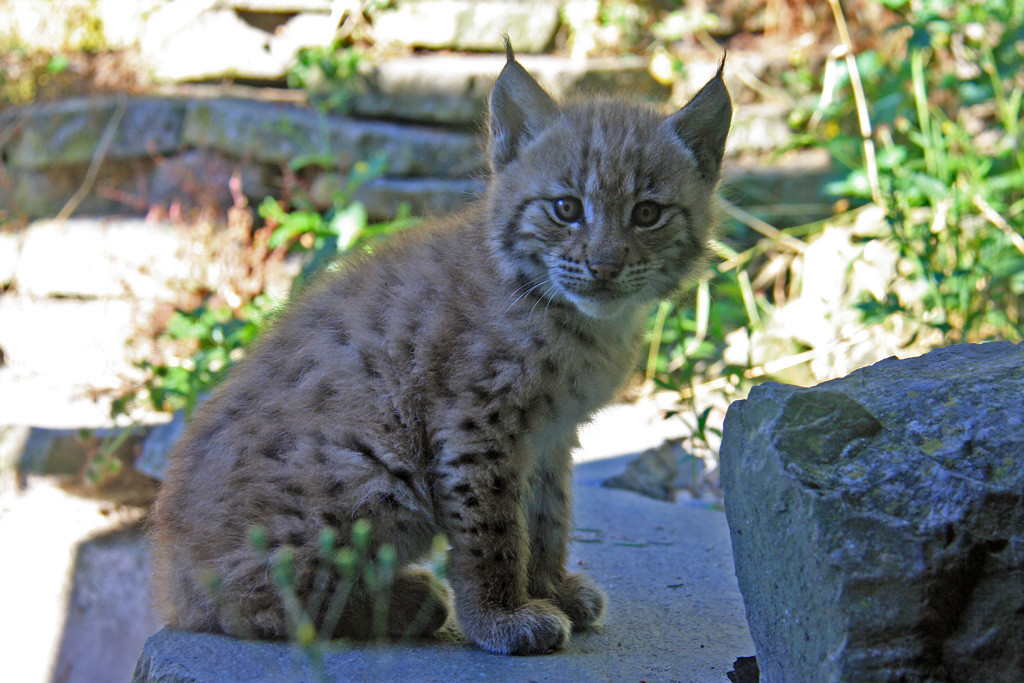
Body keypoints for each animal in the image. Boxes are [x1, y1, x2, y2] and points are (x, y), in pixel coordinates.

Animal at [149, 44, 729, 655]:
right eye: (566, 209)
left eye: (648, 214)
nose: (604, 266)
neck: (577, 317)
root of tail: (171, 576)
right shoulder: (476, 423)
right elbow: (492, 529)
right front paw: (502, 617)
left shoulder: (549, 435)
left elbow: (549, 517)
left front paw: (550, 589)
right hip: (377, 471)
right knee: (246, 601)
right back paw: (406, 603)